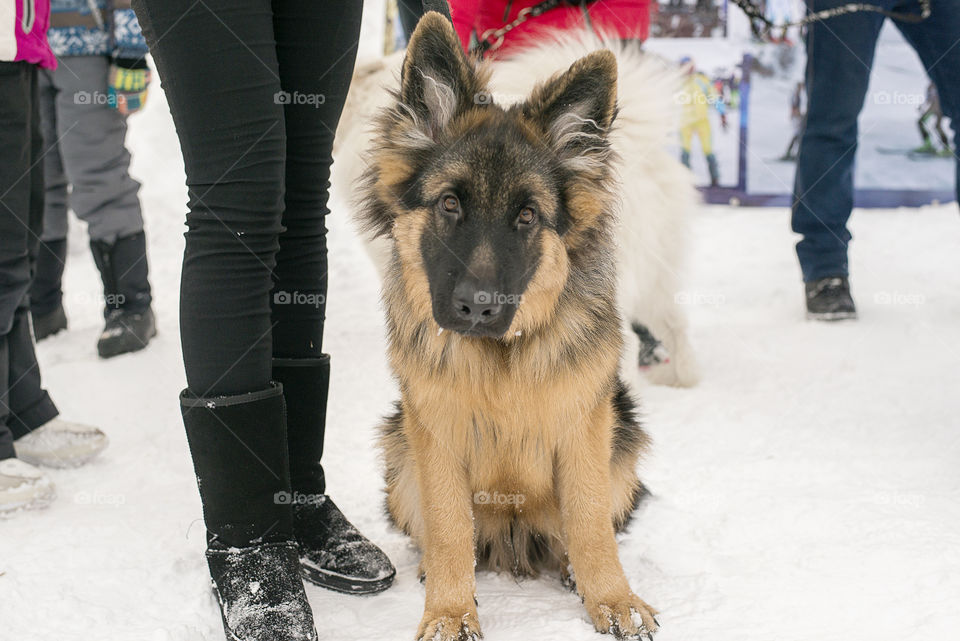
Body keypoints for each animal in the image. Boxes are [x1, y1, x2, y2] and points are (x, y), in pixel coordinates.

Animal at [360, 13, 660, 640]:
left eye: (526, 217)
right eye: (450, 204)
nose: (477, 307)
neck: (503, 355)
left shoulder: (585, 427)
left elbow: (590, 523)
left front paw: (613, 598)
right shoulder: (435, 436)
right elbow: (450, 529)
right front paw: (450, 612)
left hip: (624, 439)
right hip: (399, 450)